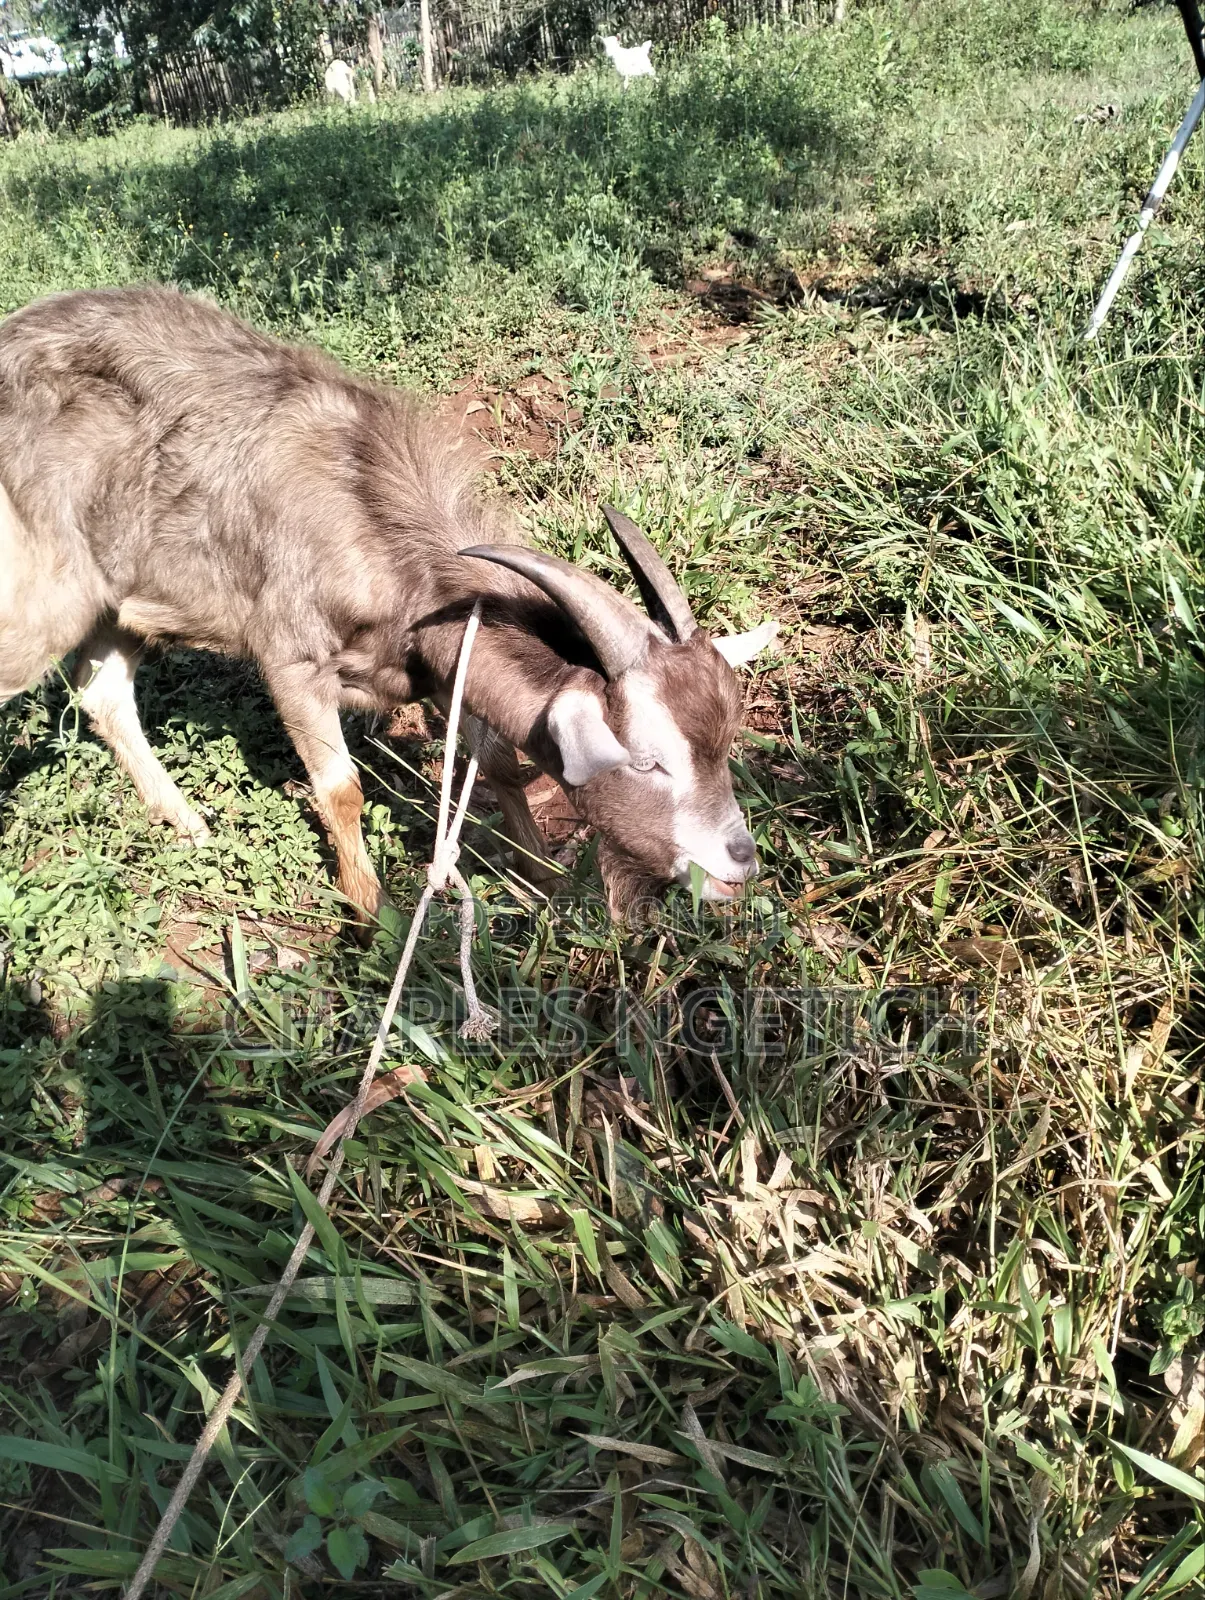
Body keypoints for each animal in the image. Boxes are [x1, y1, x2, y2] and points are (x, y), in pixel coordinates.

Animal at [0, 287, 776, 923]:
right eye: (648, 762)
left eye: (727, 738)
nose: (738, 859)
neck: (372, 513)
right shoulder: (291, 661)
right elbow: (340, 787)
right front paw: (372, 913)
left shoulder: (436, 667)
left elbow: (496, 762)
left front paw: (542, 876)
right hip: (38, 609)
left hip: (116, 604)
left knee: (102, 692)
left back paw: (188, 824)